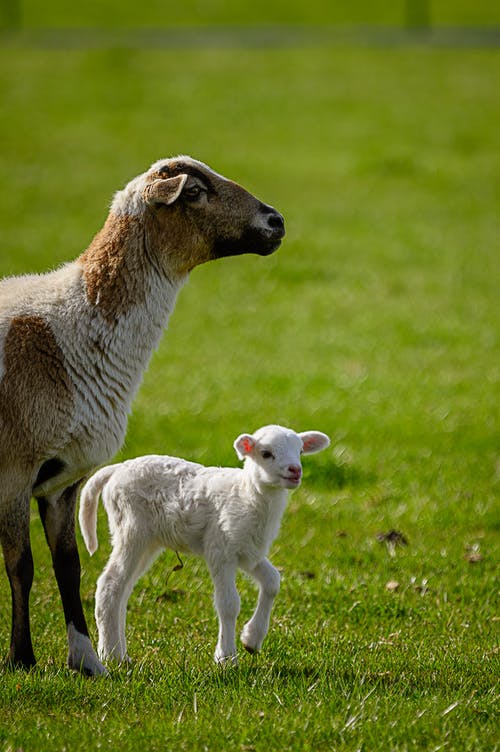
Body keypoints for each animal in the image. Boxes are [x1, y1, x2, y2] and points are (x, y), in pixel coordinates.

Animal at [0, 156, 284, 672]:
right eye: (194, 192)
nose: (276, 222)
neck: (68, 330)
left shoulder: (61, 480)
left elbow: (68, 566)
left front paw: (86, 660)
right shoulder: (14, 468)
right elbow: (21, 565)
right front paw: (21, 659)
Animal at [78, 424, 330, 664]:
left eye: (300, 451)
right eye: (266, 454)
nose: (295, 470)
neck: (248, 495)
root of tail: (116, 469)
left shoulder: (248, 550)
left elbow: (272, 581)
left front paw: (251, 640)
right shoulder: (221, 548)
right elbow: (228, 604)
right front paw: (226, 657)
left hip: (148, 541)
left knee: (123, 589)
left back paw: (121, 654)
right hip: (131, 528)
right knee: (109, 583)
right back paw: (110, 655)